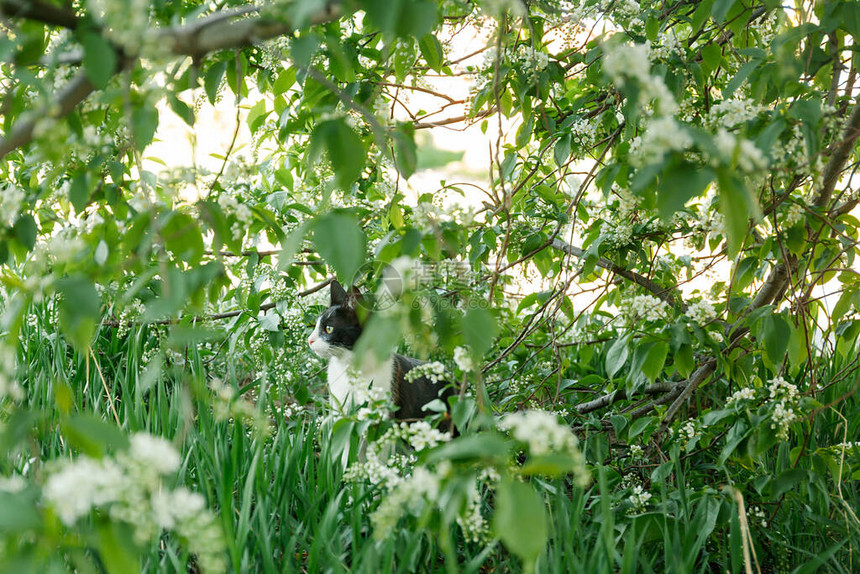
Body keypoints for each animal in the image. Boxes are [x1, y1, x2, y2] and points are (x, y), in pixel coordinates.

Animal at [310, 282, 456, 426]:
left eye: (329, 329)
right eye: (316, 326)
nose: (309, 340)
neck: (349, 368)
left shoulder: (383, 409)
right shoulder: (341, 409)